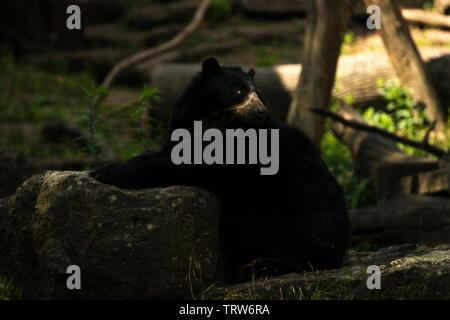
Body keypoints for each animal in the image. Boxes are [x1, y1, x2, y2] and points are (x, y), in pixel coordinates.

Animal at [90, 57, 352, 282]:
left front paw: (104, 173)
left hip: (284, 219)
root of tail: (339, 252)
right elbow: (165, 153)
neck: (214, 121)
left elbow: (189, 167)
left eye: (259, 95)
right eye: (239, 91)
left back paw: (265, 269)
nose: (260, 112)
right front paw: (101, 167)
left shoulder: (243, 149)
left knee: (259, 232)